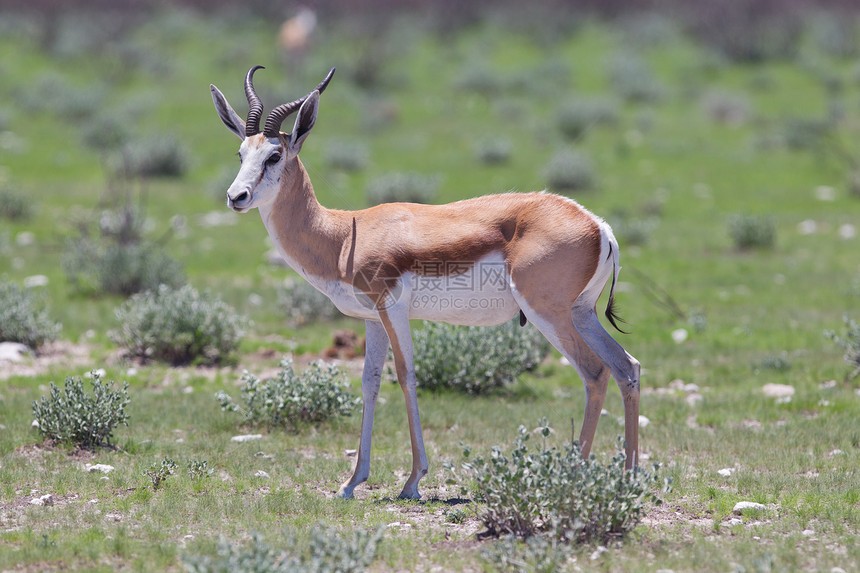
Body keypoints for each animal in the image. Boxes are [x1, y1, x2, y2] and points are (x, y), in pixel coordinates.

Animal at [208, 65, 640, 498]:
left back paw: (575, 476)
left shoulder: (392, 308)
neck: (343, 235)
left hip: (547, 313)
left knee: (594, 372)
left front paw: (413, 480)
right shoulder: (371, 319)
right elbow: (370, 381)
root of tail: (597, 225)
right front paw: (352, 482)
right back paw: (629, 477)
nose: (236, 196)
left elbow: (405, 375)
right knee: (626, 367)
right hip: (580, 313)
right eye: (241, 153)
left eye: (274, 155)